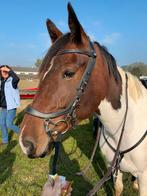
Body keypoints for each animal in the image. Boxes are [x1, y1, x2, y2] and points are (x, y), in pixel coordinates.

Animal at [19, 3, 147, 196]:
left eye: (68, 73)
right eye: (42, 73)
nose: (25, 142)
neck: (124, 130)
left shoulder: (144, 177)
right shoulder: (114, 170)